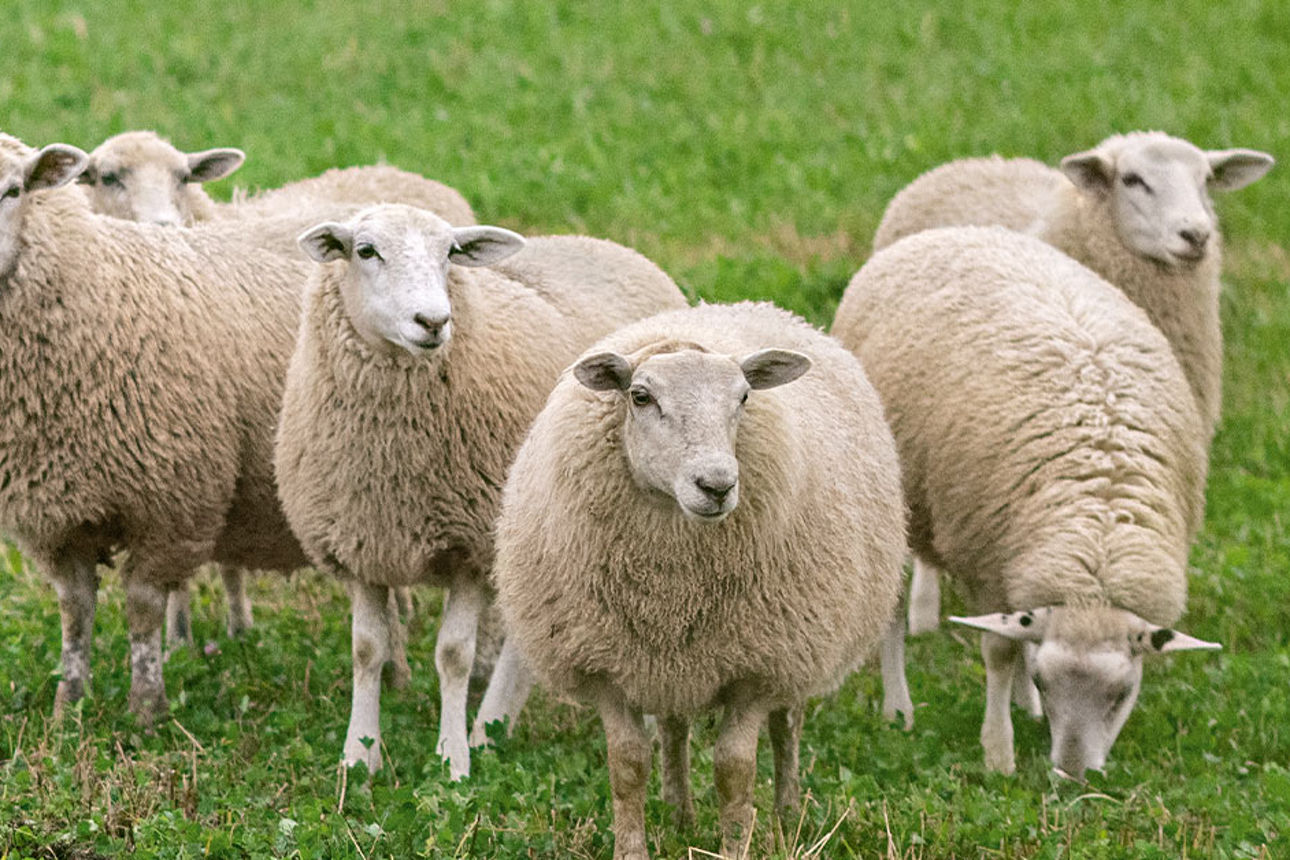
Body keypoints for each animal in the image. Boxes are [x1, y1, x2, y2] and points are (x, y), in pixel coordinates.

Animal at [0, 133, 357, 724]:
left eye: (11, 190)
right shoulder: (55, 517)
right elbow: (74, 612)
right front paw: (68, 709)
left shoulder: (173, 502)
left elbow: (144, 609)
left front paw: (147, 710)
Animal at [275, 204, 688, 780]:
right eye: (365, 251)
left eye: (450, 253)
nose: (433, 322)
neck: (391, 457)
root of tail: (614, 247)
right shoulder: (361, 542)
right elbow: (366, 650)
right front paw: (360, 755)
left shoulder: (470, 545)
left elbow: (453, 654)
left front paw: (453, 760)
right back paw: (494, 726)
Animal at [493, 301, 906, 859]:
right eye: (640, 397)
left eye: (744, 397)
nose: (717, 485)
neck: (673, 579)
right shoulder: (605, 665)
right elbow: (627, 765)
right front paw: (632, 849)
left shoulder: (758, 666)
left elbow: (735, 770)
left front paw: (735, 846)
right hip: (670, 660)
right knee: (674, 727)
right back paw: (679, 814)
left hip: (800, 640)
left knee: (787, 725)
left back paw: (787, 812)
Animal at [832, 226, 1221, 779]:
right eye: (1046, 680)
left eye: (1123, 694)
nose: (1073, 775)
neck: (1096, 537)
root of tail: (952, 230)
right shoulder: (986, 560)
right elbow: (998, 651)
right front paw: (999, 751)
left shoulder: (1019, 562)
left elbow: (1021, 637)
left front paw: (1022, 709)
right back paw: (898, 708)